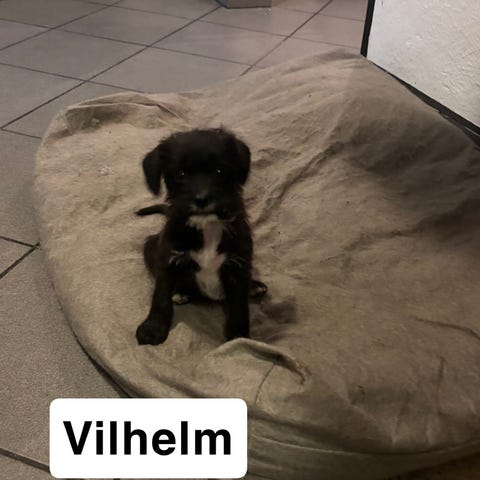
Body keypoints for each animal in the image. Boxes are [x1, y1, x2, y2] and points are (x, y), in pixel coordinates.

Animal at [136, 128, 267, 345]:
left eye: (220, 171)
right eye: (180, 174)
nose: (202, 199)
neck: (207, 227)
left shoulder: (238, 265)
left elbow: (240, 307)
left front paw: (239, 339)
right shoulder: (168, 260)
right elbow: (160, 297)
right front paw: (153, 328)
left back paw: (254, 286)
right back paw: (181, 293)